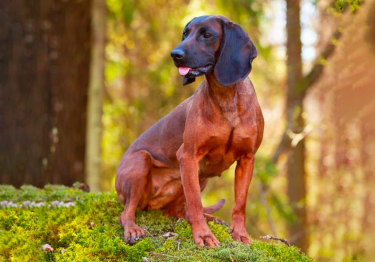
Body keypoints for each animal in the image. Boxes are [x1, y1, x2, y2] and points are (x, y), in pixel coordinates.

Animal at [116, 15, 266, 249]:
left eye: (207, 35)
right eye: (185, 34)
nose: (174, 54)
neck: (226, 98)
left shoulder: (246, 159)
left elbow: (240, 204)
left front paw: (240, 234)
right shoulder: (188, 156)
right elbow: (195, 202)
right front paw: (203, 235)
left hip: (201, 176)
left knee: (177, 211)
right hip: (141, 162)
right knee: (126, 213)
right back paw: (133, 229)